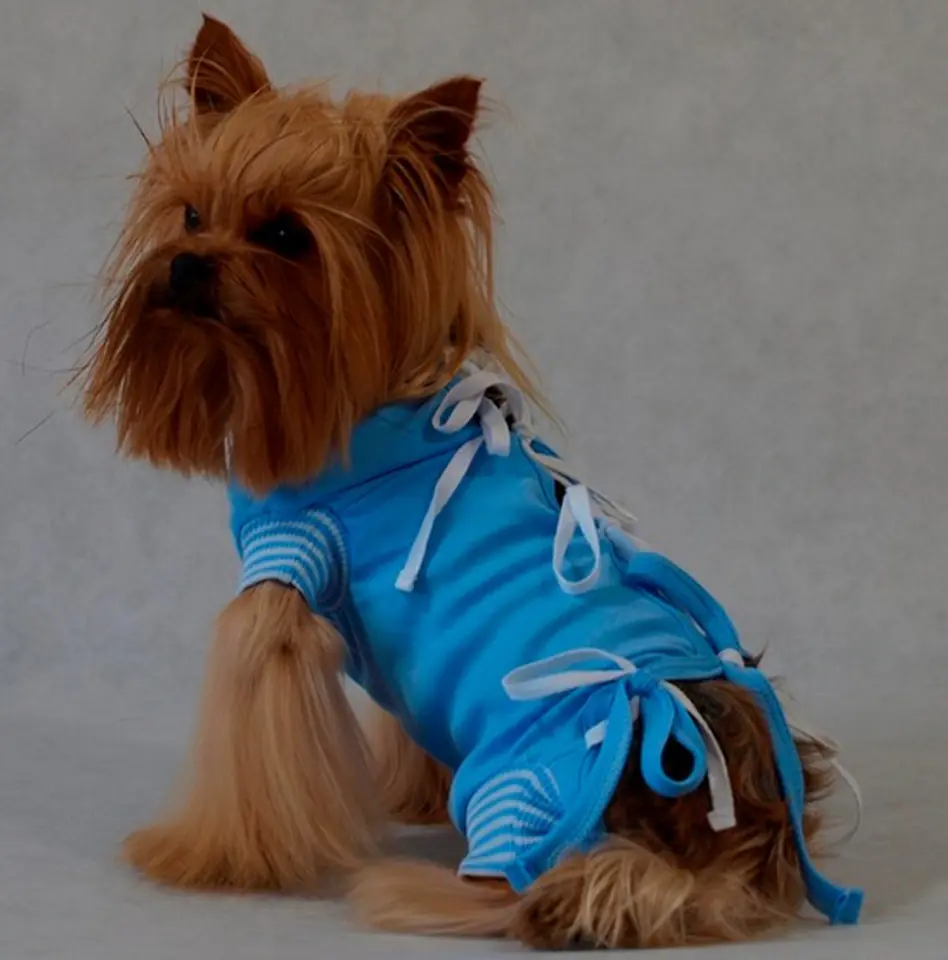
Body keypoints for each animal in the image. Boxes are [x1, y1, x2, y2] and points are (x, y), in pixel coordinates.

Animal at [82, 15, 862, 949]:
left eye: (285, 237)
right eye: (192, 213)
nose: (188, 264)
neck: (367, 411)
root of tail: (733, 836)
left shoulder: (285, 573)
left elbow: (251, 707)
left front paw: (205, 855)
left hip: (525, 790)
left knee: (521, 889)